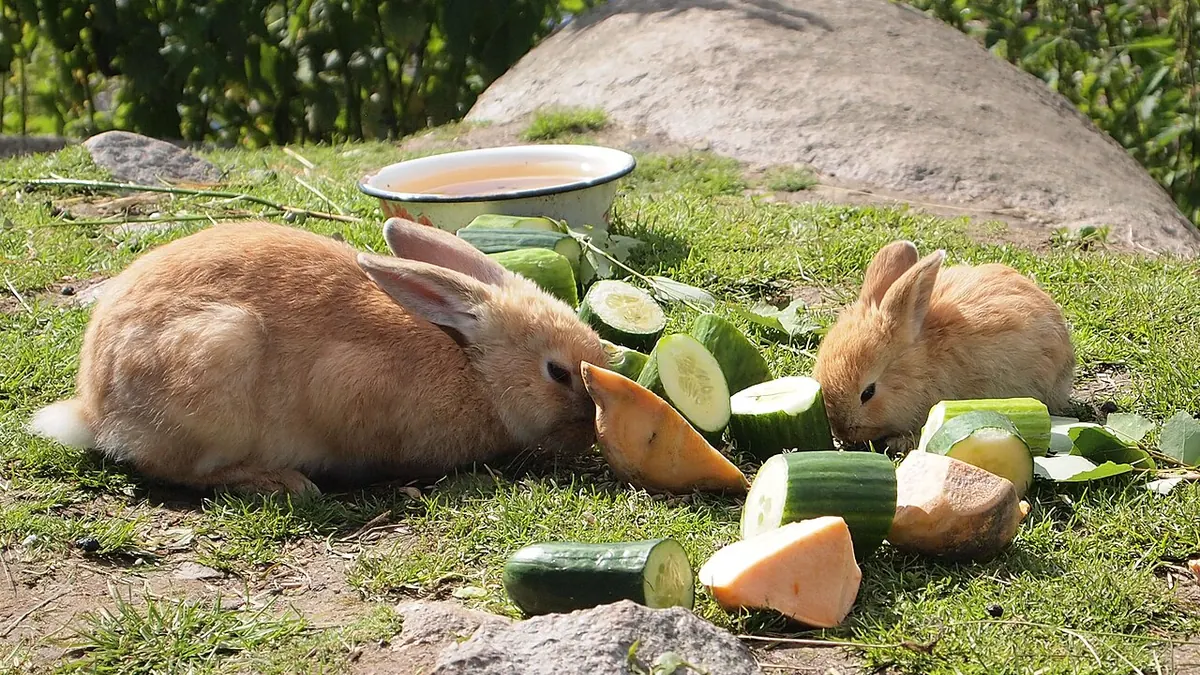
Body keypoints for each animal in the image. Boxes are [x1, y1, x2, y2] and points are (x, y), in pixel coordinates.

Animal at [28, 217, 609, 495]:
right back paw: (279, 483)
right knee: (172, 469)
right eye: (557, 373)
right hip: (218, 358)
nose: (590, 430)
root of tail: (95, 410)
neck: (473, 366)